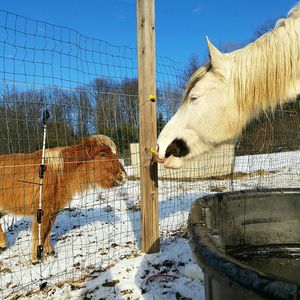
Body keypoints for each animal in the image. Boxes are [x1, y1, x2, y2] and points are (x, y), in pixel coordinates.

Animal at [0, 135, 126, 264]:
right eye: (102, 153)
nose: (123, 176)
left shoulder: (54, 209)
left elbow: (47, 231)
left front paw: (49, 251)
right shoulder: (42, 211)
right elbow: (40, 232)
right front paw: (35, 259)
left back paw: (3, 244)